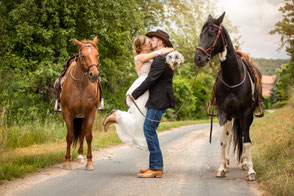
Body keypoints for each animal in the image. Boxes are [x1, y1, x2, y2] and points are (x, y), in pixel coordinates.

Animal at [60, 36, 100, 170]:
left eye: (97, 55)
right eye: (83, 56)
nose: (94, 75)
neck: (81, 85)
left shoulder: (90, 113)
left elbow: (88, 136)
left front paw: (90, 162)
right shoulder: (67, 114)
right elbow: (70, 136)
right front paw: (67, 161)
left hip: (82, 116)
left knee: (82, 132)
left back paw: (81, 156)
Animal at [193, 11, 262, 181]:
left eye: (211, 33)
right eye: (201, 34)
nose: (198, 58)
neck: (233, 78)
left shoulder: (246, 113)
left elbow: (247, 141)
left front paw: (251, 170)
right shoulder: (223, 113)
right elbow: (224, 140)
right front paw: (221, 167)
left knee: (243, 136)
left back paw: (244, 163)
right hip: (232, 116)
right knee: (230, 136)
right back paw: (227, 163)